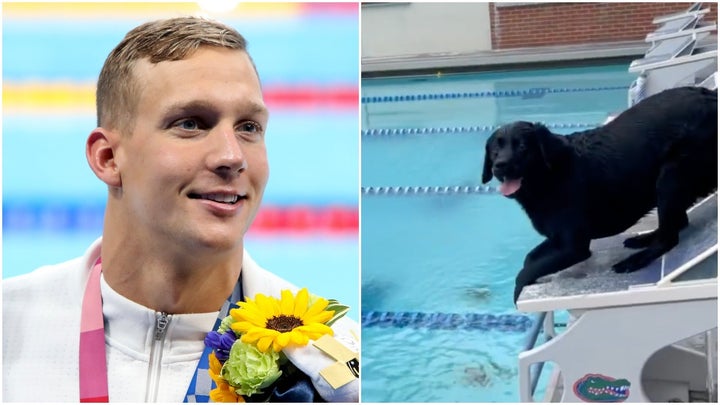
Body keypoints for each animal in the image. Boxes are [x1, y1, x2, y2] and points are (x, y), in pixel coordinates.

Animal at [480, 85, 716, 302]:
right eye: (494, 150)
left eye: (522, 147)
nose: (499, 165)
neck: (550, 176)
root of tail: (709, 94)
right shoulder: (558, 238)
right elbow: (529, 259)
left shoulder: (573, 246)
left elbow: (525, 271)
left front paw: (518, 290)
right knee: (678, 223)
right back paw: (644, 239)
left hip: (670, 177)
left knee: (670, 238)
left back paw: (636, 260)